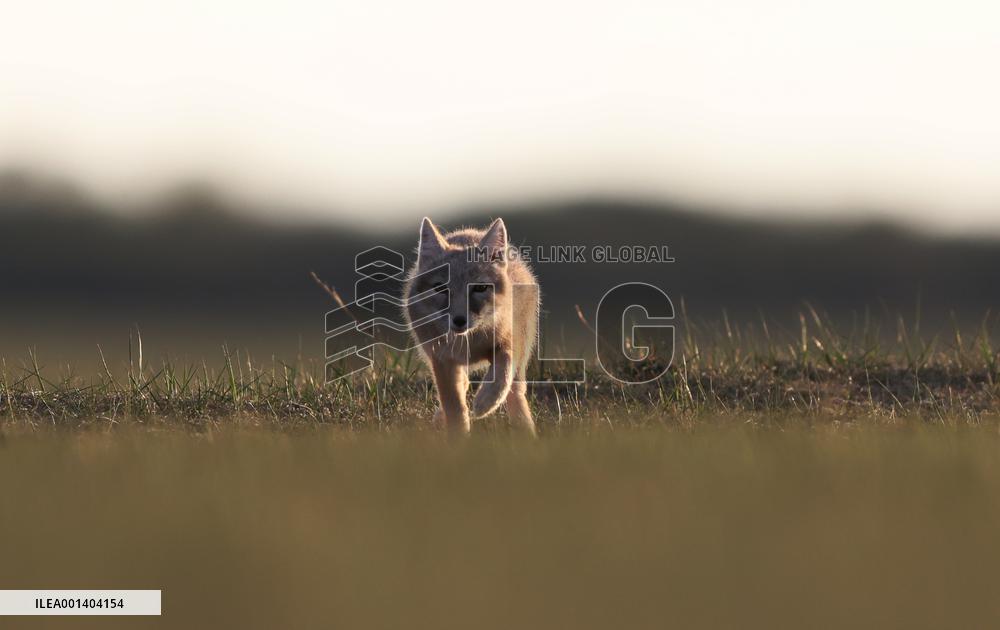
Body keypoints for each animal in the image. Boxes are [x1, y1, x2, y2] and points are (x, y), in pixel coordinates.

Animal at [403, 217, 539, 435]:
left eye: (480, 288)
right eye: (440, 288)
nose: (459, 320)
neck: (468, 343)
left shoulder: (508, 342)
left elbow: (503, 371)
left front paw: (486, 401)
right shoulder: (442, 359)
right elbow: (454, 406)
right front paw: (459, 437)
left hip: (523, 347)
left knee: (516, 391)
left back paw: (524, 429)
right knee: (463, 384)